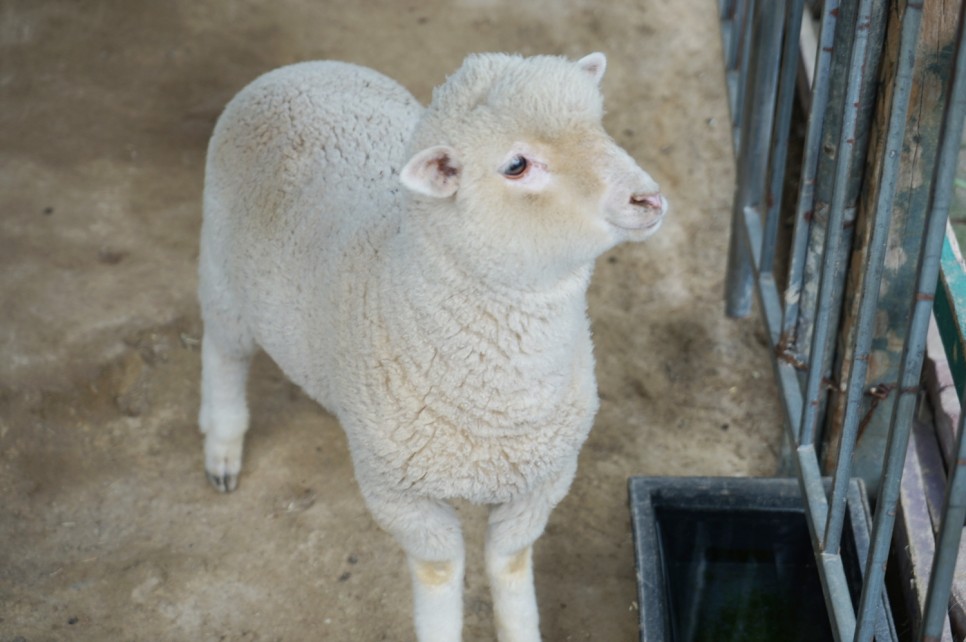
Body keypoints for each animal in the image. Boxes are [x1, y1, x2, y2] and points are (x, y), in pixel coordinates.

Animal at [197, 51, 664, 640]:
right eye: (517, 165)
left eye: (599, 126)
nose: (649, 197)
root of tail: (299, 68)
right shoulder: (400, 495)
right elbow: (441, 573)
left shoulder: (544, 480)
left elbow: (510, 563)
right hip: (222, 274)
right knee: (223, 352)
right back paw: (222, 443)